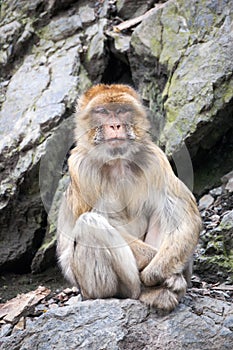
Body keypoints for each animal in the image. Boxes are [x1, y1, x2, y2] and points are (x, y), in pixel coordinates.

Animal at [57, 84, 202, 312]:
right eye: (103, 111)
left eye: (122, 110)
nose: (115, 125)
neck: (117, 161)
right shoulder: (82, 170)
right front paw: (162, 270)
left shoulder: (155, 160)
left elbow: (185, 221)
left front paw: (158, 272)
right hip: (93, 287)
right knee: (89, 224)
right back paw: (141, 291)